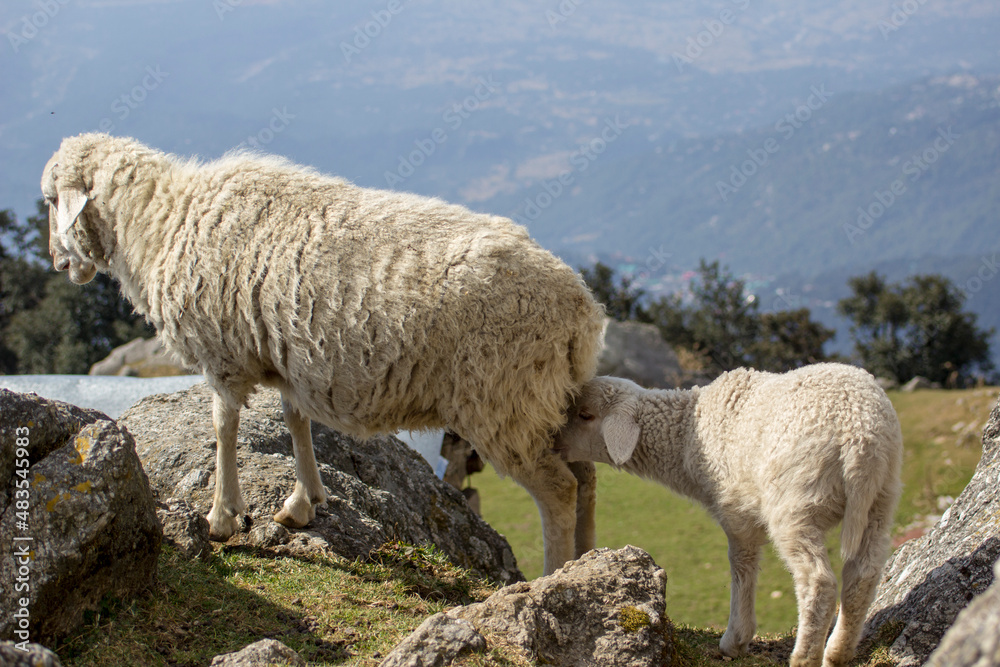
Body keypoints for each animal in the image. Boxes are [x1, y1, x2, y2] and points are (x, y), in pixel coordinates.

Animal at [41, 132, 606, 575]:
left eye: (50, 199)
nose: (57, 262)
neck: (160, 221)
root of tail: (582, 309)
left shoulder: (224, 357)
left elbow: (222, 427)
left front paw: (223, 516)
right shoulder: (292, 359)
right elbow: (296, 422)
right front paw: (306, 501)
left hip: (503, 400)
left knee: (560, 488)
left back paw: (553, 575)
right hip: (544, 398)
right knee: (586, 477)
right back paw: (587, 562)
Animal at [553, 363, 903, 667]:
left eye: (585, 415)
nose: (553, 443)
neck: (685, 436)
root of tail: (858, 434)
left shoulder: (736, 512)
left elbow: (741, 567)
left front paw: (735, 639)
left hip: (796, 502)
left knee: (818, 582)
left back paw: (804, 657)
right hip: (881, 499)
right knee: (863, 574)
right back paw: (839, 652)